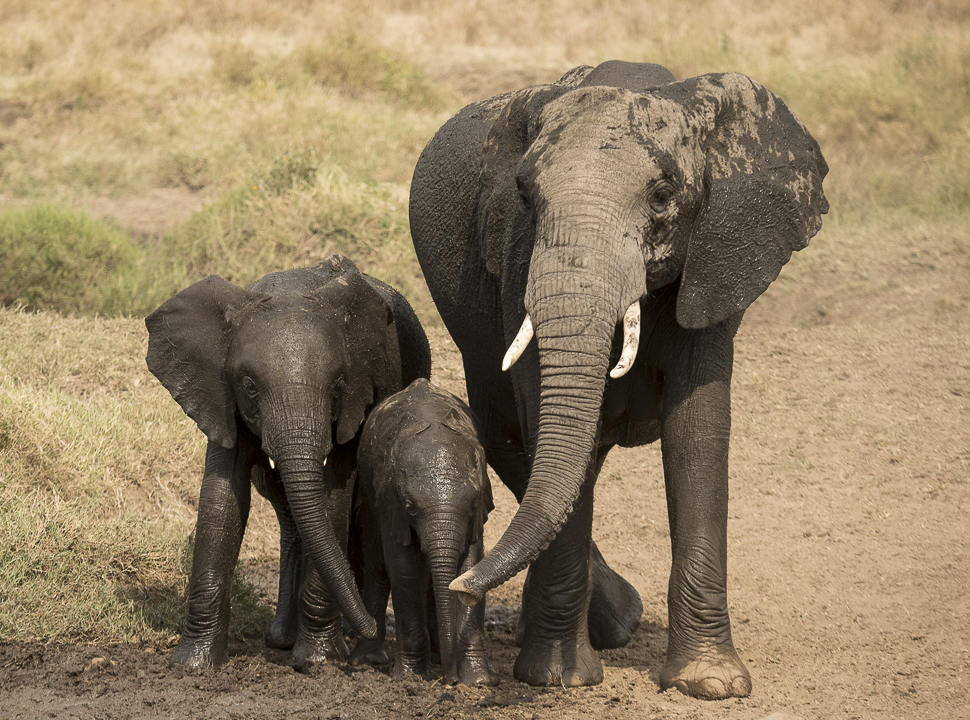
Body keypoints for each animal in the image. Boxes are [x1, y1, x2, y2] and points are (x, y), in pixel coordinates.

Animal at [146, 255, 430, 668]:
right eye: (249, 386)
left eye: (338, 387)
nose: (368, 627)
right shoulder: (219, 395)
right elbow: (222, 496)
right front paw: (193, 664)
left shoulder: (359, 394)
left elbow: (333, 494)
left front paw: (317, 661)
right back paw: (290, 638)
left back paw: (354, 643)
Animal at [350, 376, 500, 688]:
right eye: (410, 507)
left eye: (474, 505)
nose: (450, 680)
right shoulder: (389, 503)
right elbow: (404, 569)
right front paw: (410, 678)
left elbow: (469, 564)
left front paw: (479, 680)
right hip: (369, 495)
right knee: (379, 567)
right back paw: (370, 659)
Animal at [406, 60, 824, 696]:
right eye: (525, 196)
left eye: (663, 195)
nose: (460, 585)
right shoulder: (518, 260)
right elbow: (543, 422)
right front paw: (557, 679)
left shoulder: (713, 265)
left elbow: (698, 432)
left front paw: (711, 683)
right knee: (509, 436)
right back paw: (611, 621)